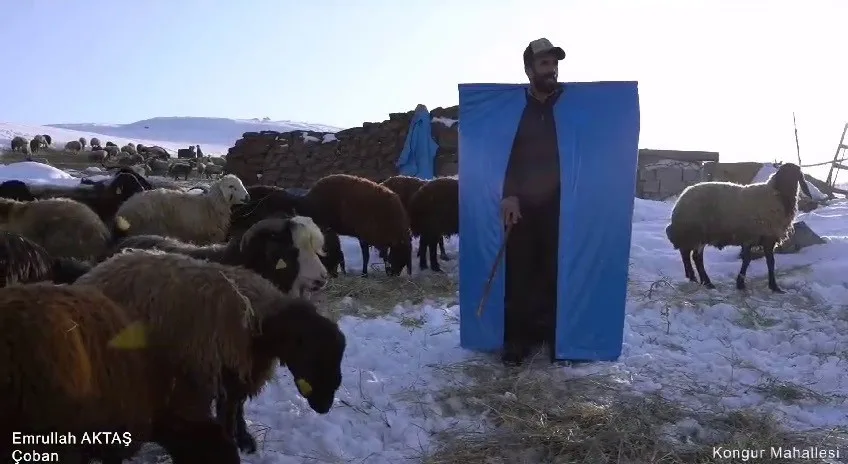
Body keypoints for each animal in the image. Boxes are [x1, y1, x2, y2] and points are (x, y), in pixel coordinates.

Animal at [75, 250, 348, 454]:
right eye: (313, 353)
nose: (325, 406)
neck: (257, 318)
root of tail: (93, 273)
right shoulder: (216, 365)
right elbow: (227, 408)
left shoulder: (241, 368)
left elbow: (237, 405)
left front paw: (244, 439)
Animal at [664, 163, 812, 294]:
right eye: (783, 175)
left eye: (796, 176)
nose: (788, 192)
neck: (777, 196)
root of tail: (680, 200)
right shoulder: (758, 236)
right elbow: (758, 261)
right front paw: (760, 285)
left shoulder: (760, 237)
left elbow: (760, 261)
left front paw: (766, 285)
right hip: (694, 232)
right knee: (691, 255)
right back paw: (704, 281)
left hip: (696, 235)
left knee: (691, 255)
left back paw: (697, 279)